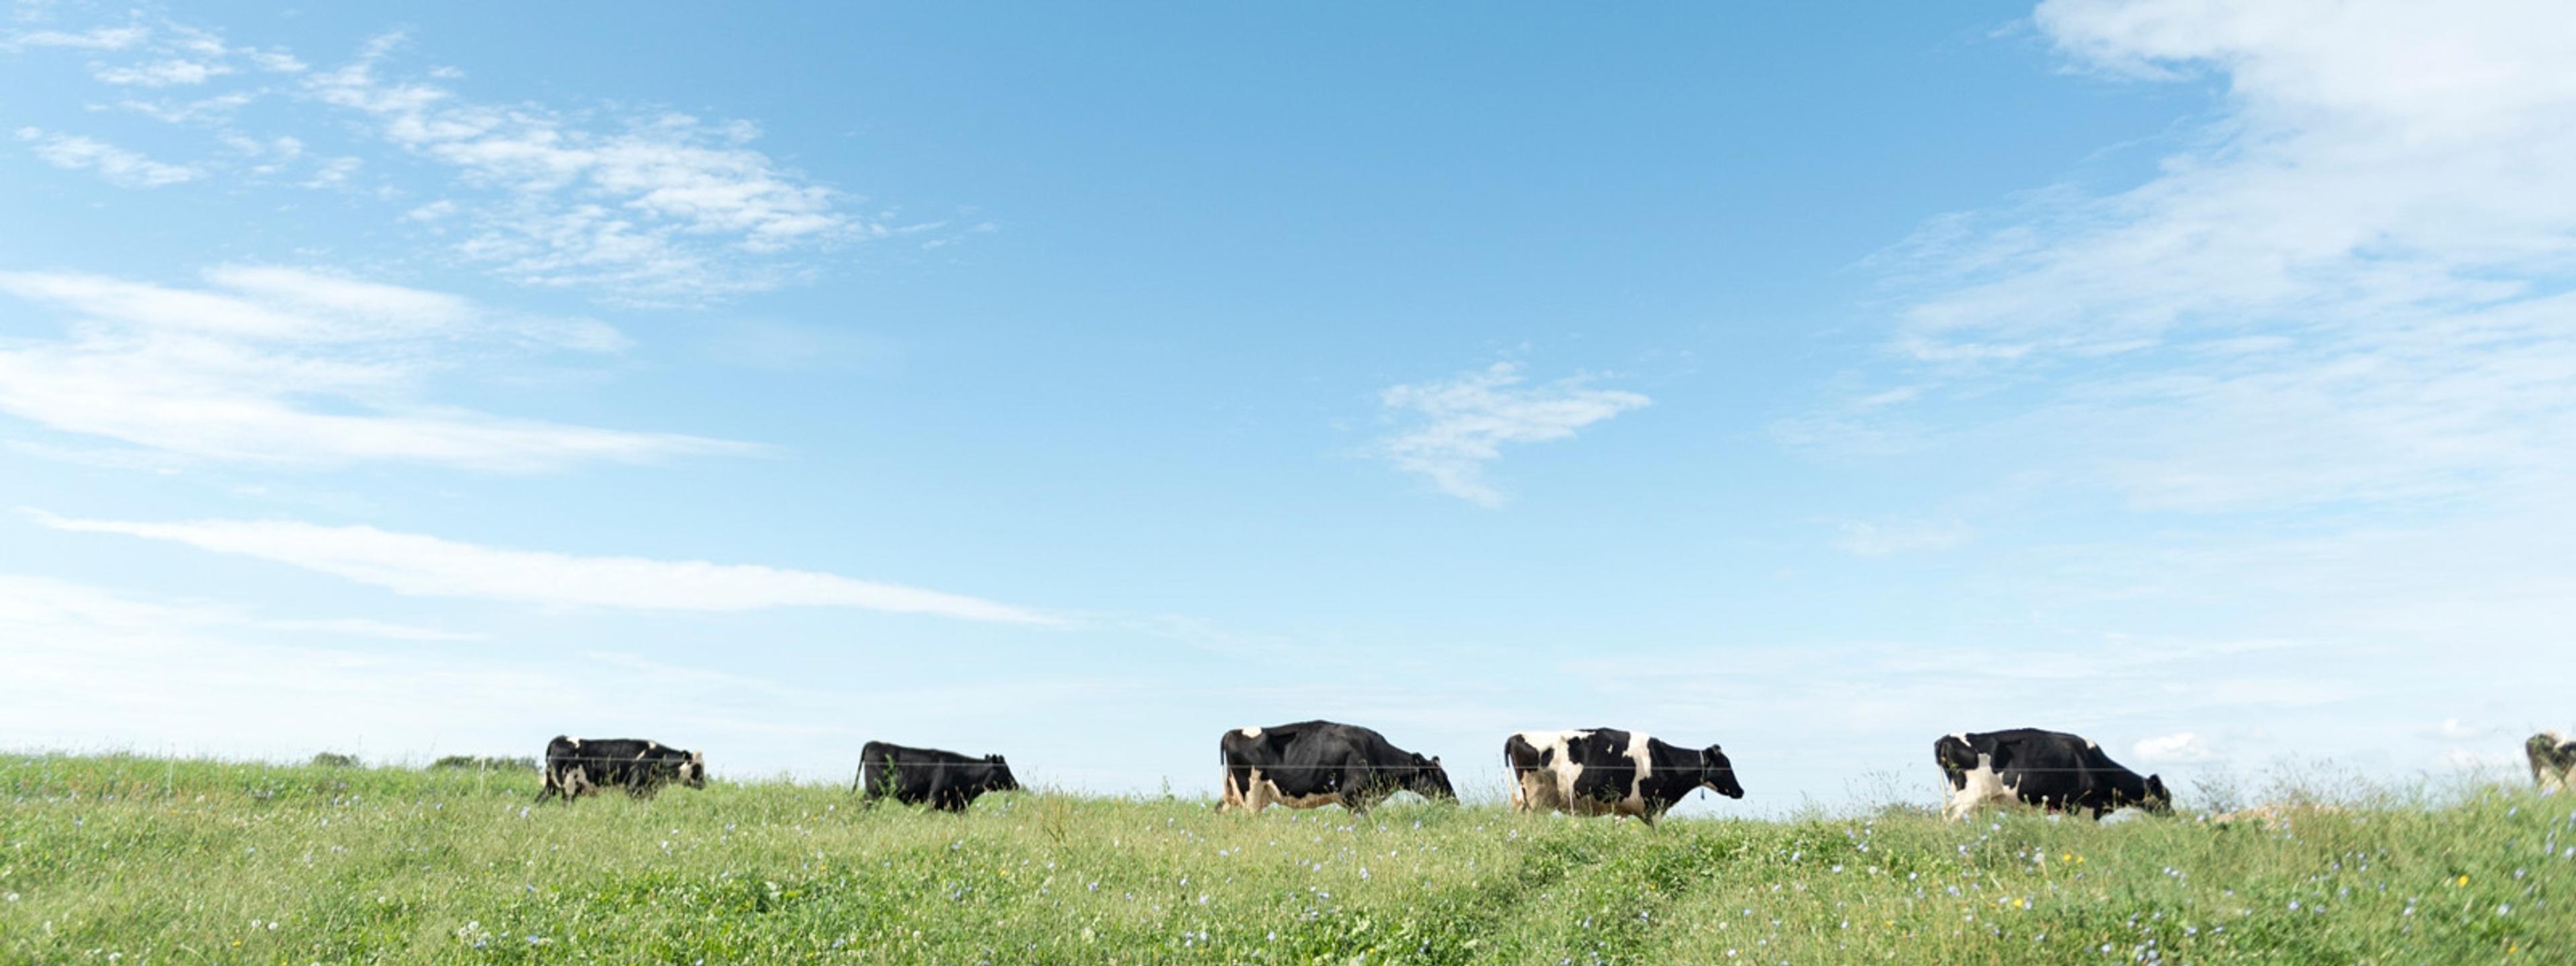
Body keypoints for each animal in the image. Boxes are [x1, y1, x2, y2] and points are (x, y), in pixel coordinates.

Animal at [538, 737, 706, 804]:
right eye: (696, 767)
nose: (703, 784)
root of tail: (559, 739)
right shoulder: (635, 790)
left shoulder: (648, 792)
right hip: (569, 787)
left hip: (551, 785)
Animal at [855, 747, 1014, 814]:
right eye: (1005, 769)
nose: (1016, 785)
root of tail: (873, 743)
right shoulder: (934, 800)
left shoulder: (960, 806)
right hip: (874, 791)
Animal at [1504, 731, 1741, 829]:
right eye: (1725, 765)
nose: (1741, 791)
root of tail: (1516, 735)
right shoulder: (1653, 807)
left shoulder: (1621, 810)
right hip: (1537, 799)